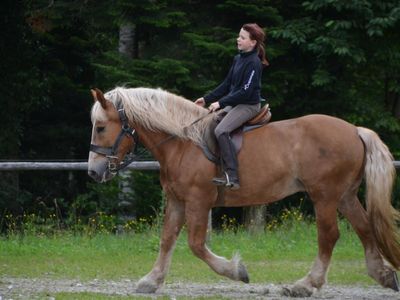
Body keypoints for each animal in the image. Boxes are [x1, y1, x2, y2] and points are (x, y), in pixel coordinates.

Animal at [88, 85, 400, 296]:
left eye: (101, 127)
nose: (93, 171)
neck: (183, 143)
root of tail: (355, 130)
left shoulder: (198, 201)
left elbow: (196, 245)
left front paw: (236, 271)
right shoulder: (177, 200)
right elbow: (167, 239)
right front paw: (151, 280)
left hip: (325, 196)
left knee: (329, 236)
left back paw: (305, 285)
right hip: (344, 196)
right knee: (364, 228)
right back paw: (383, 274)